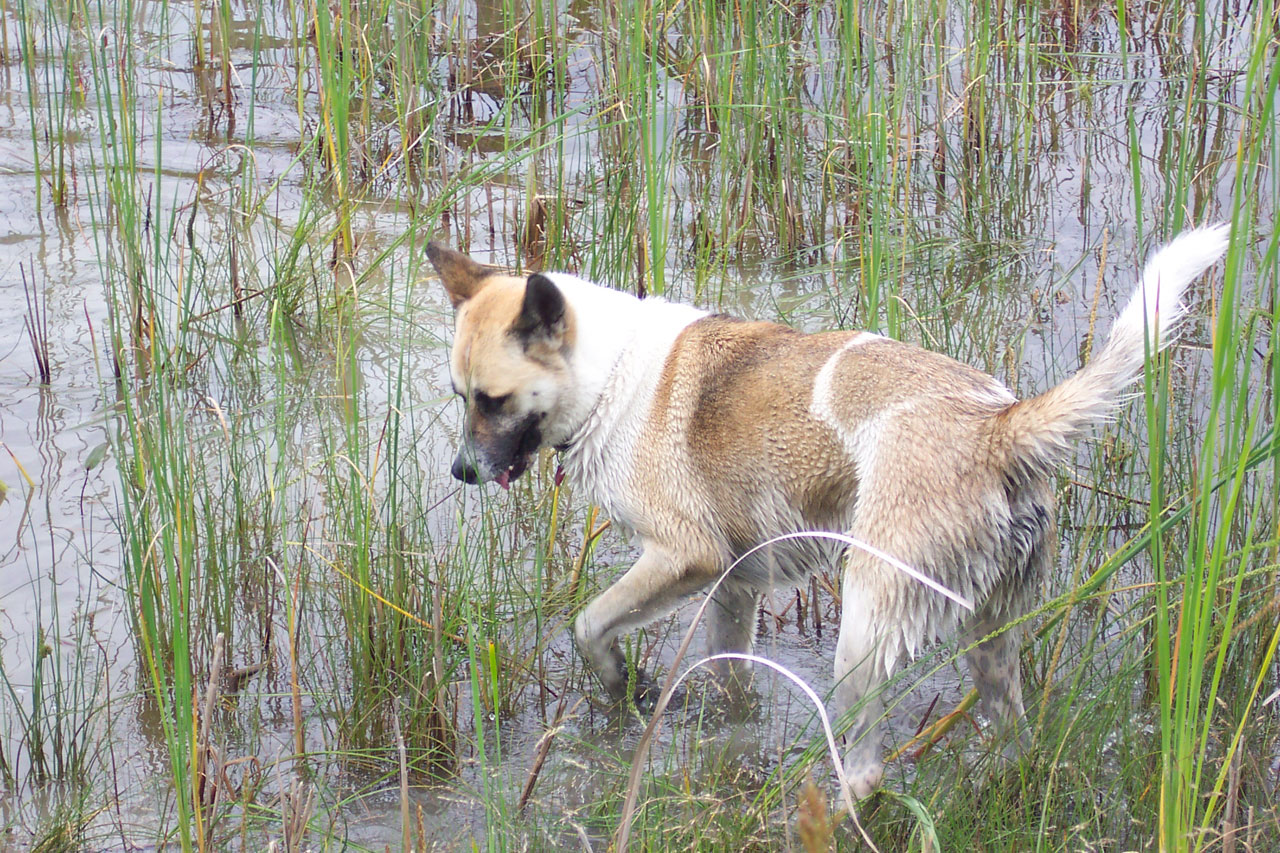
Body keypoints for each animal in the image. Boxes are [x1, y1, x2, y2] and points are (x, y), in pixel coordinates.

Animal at [427, 225, 1228, 799]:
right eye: (460, 395)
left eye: (492, 400)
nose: (461, 471)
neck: (608, 374)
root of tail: (999, 426)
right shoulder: (735, 587)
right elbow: (732, 684)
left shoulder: (687, 557)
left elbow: (590, 623)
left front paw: (623, 684)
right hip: (989, 639)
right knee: (1015, 735)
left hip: (865, 630)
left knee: (869, 770)